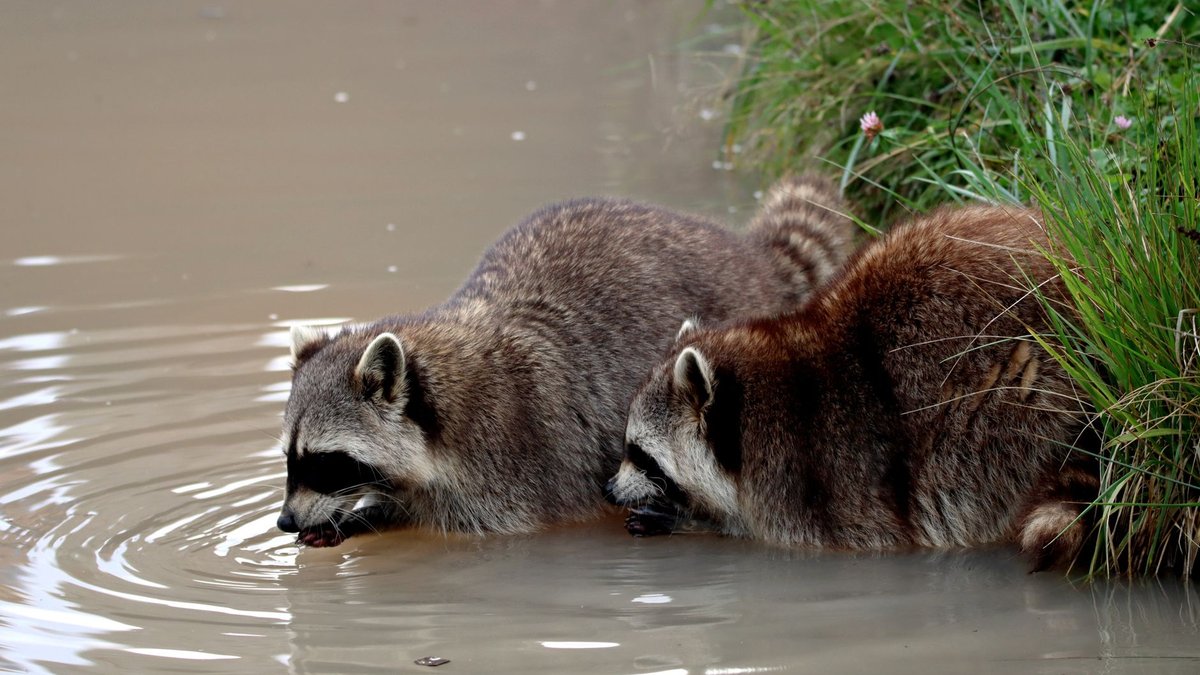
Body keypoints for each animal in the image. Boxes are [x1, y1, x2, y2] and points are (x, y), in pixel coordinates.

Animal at [277, 178, 857, 547]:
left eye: (324, 462)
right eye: (289, 458)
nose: (283, 522)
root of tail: (749, 258)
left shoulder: (513, 467)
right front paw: (360, 516)